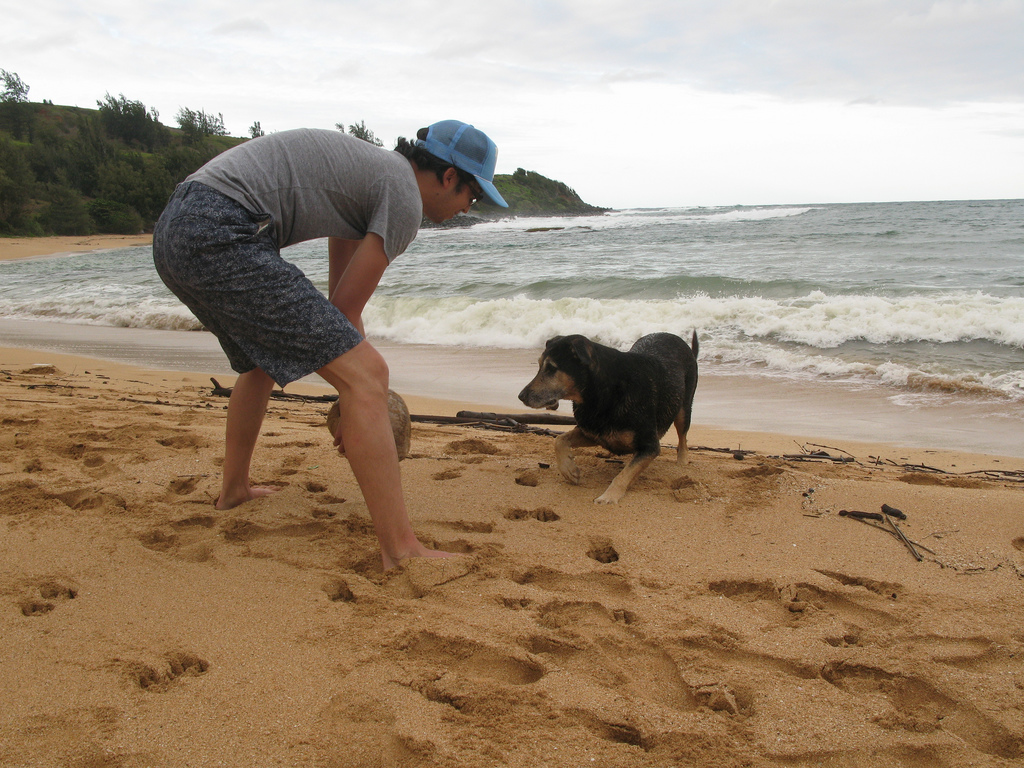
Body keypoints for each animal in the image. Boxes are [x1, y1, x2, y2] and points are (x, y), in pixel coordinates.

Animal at [520, 331, 696, 505]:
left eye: (551, 368)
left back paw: (682, 462)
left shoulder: (650, 446)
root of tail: (674, 337)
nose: (521, 396)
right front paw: (569, 470)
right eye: (539, 365)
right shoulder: (593, 432)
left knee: (683, 437)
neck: (602, 393)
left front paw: (609, 496)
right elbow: (559, 440)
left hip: (684, 408)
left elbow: (625, 474)